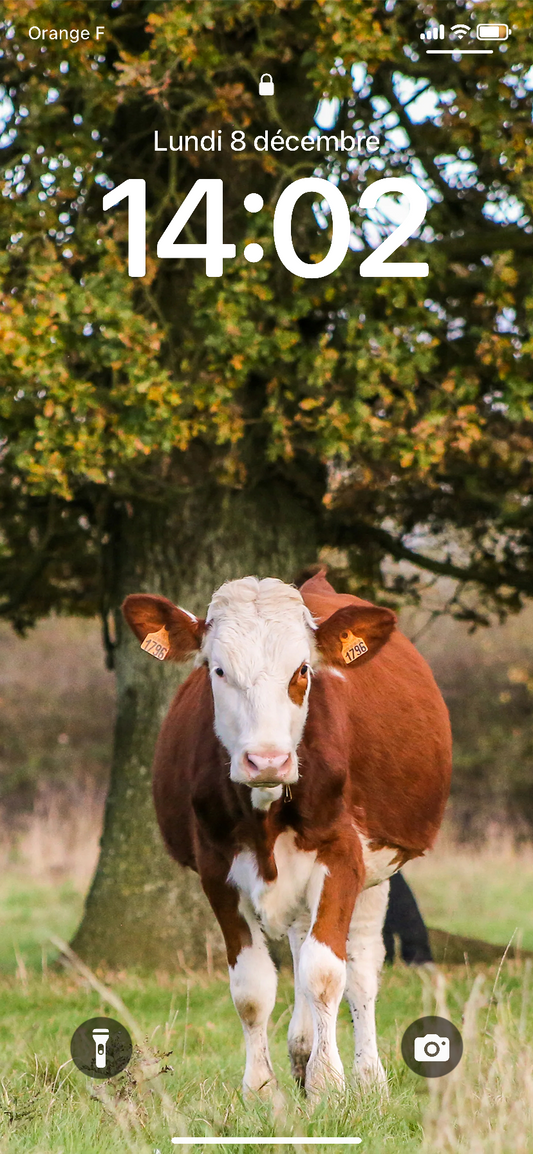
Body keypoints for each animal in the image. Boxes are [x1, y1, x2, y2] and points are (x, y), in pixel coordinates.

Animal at [122, 571, 451, 1100]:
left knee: (361, 967)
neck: (266, 812)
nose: (267, 760)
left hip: (380, 872)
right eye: (217, 670)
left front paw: (328, 1083)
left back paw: (368, 1075)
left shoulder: (343, 858)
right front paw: (261, 1087)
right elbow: (253, 988)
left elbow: (326, 973)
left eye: (302, 670)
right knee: (300, 945)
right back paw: (301, 1049)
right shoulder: (216, 870)